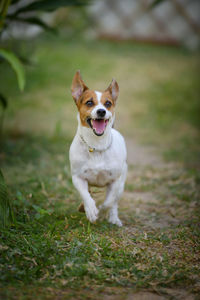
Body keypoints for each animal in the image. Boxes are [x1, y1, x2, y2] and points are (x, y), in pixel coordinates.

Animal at [69, 69, 127, 225]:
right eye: (89, 102)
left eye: (108, 103)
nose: (101, 111)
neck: (96, 145)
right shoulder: (78, 177)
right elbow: (85, 195)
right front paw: (90, 209)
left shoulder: (115, 181)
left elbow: (109, 202)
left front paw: (101, 212)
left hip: (122, 183)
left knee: (114, 202)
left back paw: (113, 218)